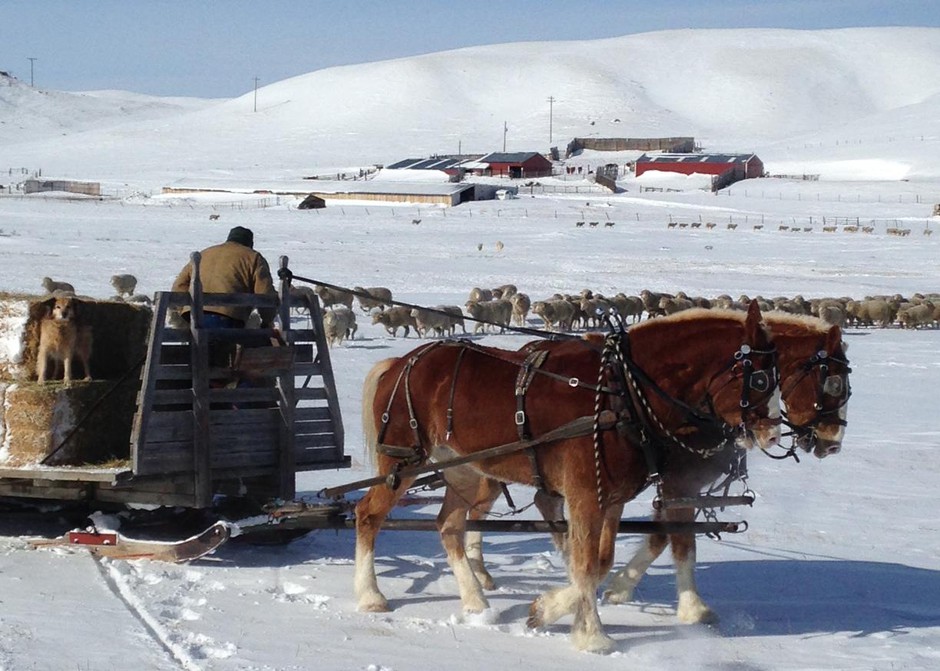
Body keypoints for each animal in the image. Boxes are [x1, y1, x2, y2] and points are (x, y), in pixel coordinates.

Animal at [352, 302, 780, 652]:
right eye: (761, 379)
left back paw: (476, 601)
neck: (621, 392)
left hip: (464, 472)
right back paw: (370, 595)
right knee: (368, 514)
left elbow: (599, 563)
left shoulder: (612, 498)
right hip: (404, 464)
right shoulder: (585, 495)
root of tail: (400, 363)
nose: (774, 434)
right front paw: (592, 636)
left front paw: (547, 609)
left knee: (449, 526)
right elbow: (586, 565)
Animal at [464, 312, 852, 628]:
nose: (833, 443)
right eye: (833, 383)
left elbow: (660, 537)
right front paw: (689, 607)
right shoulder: (677, 482)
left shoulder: (675, 487)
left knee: (512, 507)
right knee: (487, 509)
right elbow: (677, 540)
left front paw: (616, 588)